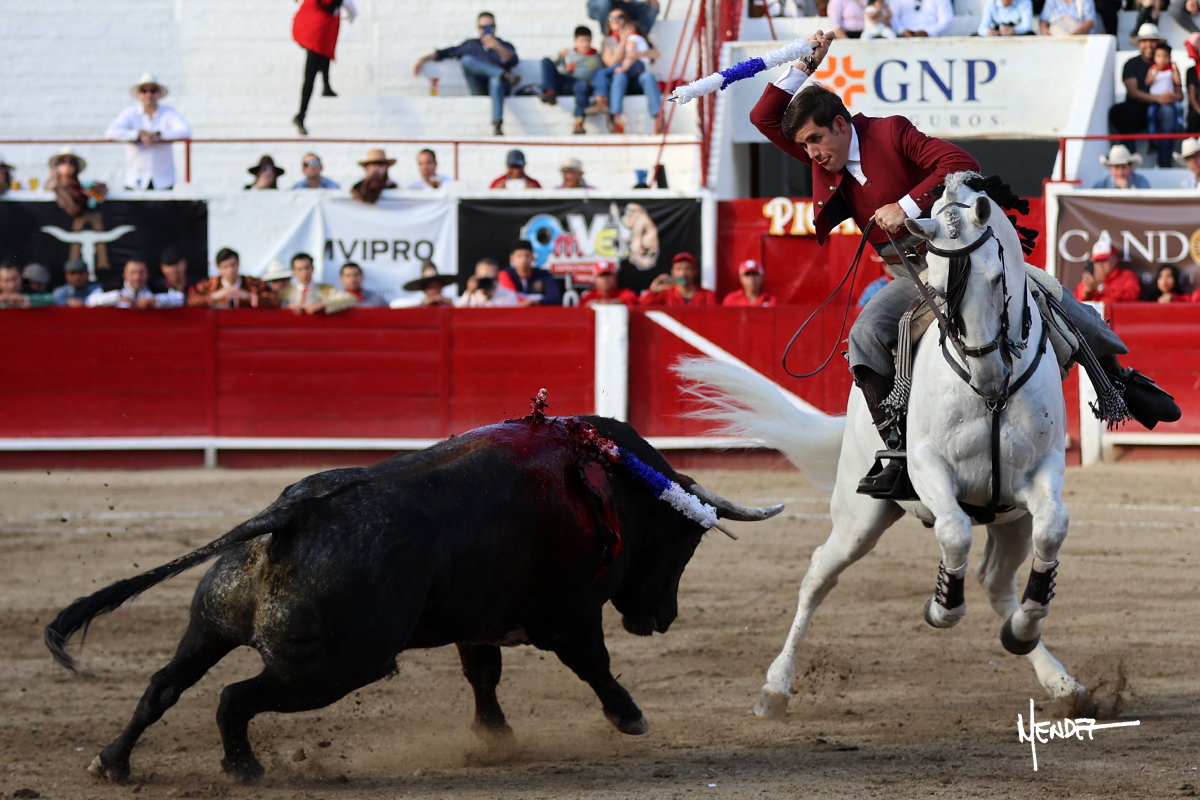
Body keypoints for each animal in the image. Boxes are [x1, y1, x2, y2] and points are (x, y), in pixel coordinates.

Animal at [45, 412, 782, 785]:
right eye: (684, 543)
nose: (662, 619)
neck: (607, 477)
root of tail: (293, 514)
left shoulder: (481, 616)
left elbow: (483, 673)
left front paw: (495, 735)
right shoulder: (570, 615)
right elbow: (593, 667)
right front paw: (630, 718)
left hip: (211, 626)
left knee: (163, 685)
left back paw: (113, 763)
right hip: (336, 666)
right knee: (233, 698)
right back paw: (243, 766)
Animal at [677, 172, 1091, 720]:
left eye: (995, 279)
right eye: (937, 288)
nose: (985, 373)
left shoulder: (1042, 472)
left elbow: (1053, 528)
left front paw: (1024, 627)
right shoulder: (929, 469)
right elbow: (955, 532)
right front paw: (940, 607)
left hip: (1009, 520)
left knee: (999, 583)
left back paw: (1058, 678)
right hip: (860, 516)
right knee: (819, 573)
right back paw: (775, 687)